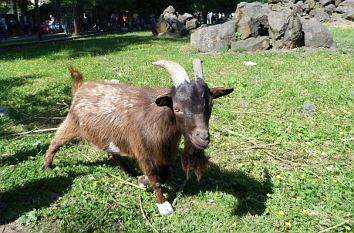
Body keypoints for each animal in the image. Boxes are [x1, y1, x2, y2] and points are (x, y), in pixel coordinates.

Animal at [43, 59, 232, 216]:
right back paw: (47, 166)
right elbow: (155, 177)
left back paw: (129, 172)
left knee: (112, 152)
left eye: (211, 104)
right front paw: (163, 205)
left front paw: (142, 180)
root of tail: (80, 87)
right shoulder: (143, 151)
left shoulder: (164, 153)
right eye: (177, 108)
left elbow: (163, 175)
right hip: (72, 123)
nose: (203, 138)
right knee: (55, 141)